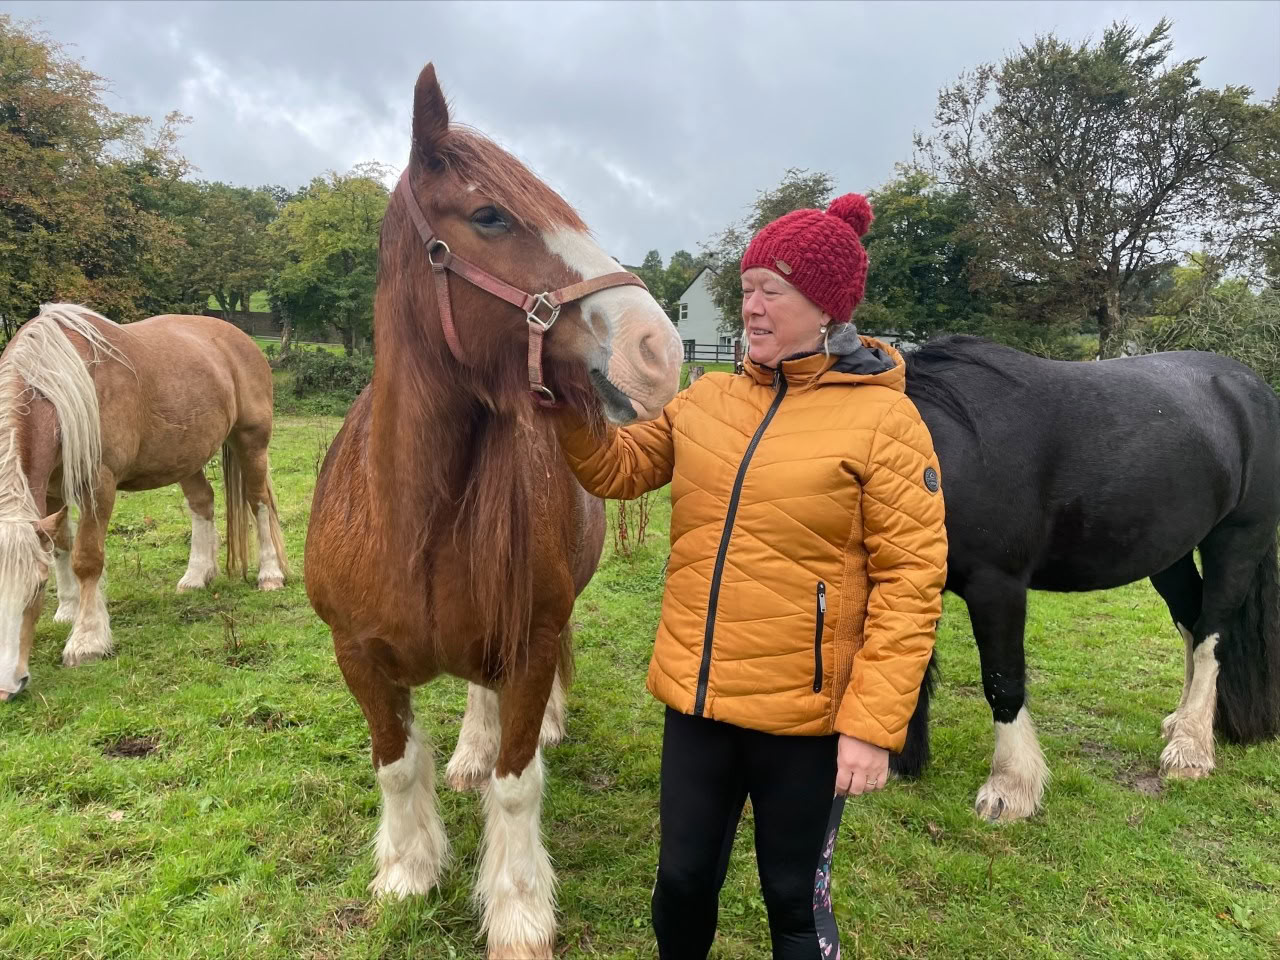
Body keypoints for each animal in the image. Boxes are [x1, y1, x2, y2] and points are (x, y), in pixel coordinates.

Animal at [0, 305, 289, 701]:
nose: (7, 686)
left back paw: (270, 575)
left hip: (251, 441)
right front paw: (68, 610)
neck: (60, 386)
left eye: (36, 589)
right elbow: (60, 548)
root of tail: (240, 338)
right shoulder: (51, 492)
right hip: (185, 455)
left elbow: (87, 559)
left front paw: (86, 642)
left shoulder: (98, 484)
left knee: (258, 503)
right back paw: (196, 576)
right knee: (203, 502)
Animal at [303, 64, 681, 959]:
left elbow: (516, 784)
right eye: (489, 216)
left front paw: (517, 910)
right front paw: (408, 872)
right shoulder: (357, 657)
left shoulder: (533, 639)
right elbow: (396, 764)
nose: (660, 349)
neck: (411, 520)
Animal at [890, 335, 1280, 821]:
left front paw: (1010, 789)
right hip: (1167, 555)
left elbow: (1002, 681)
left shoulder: (996, 586)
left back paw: (1189, 750)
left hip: (1236, 544)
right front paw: (898, 764)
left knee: (1212, 640)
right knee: (1192, 624)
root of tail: (1252, 388)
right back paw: (1183, 725)